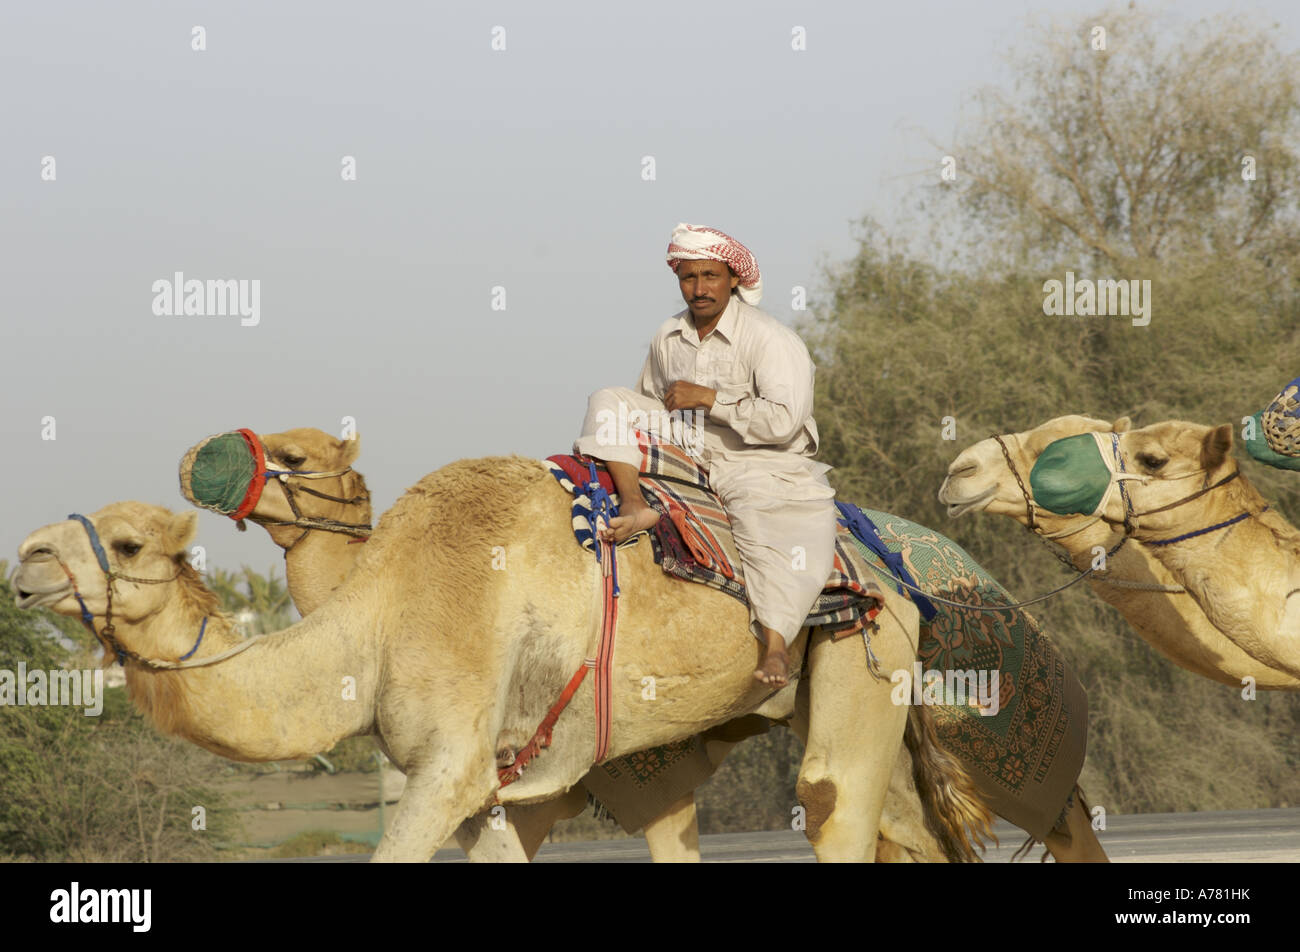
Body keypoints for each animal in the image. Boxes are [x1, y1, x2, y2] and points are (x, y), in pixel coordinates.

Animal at [14, 462, 988, 861]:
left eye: (129, 544)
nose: (24, 559)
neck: (381, 615)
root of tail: (884, 561)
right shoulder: (487, 779)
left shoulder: (447, 763)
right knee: (912, 827)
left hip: (868, 645)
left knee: (832, 805)